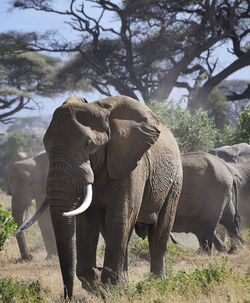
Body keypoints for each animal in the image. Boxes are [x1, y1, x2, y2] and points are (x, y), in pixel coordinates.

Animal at [17, 96, 182, 300]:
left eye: (88, 144)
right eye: (45, 146)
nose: (67, 297)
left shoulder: (131, 166)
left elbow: (119, 218)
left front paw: (109, 287)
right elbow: (87, 223)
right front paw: (99, 286)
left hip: (175, 180)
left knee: (159, 232)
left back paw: (156, 283)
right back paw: (124, 283)